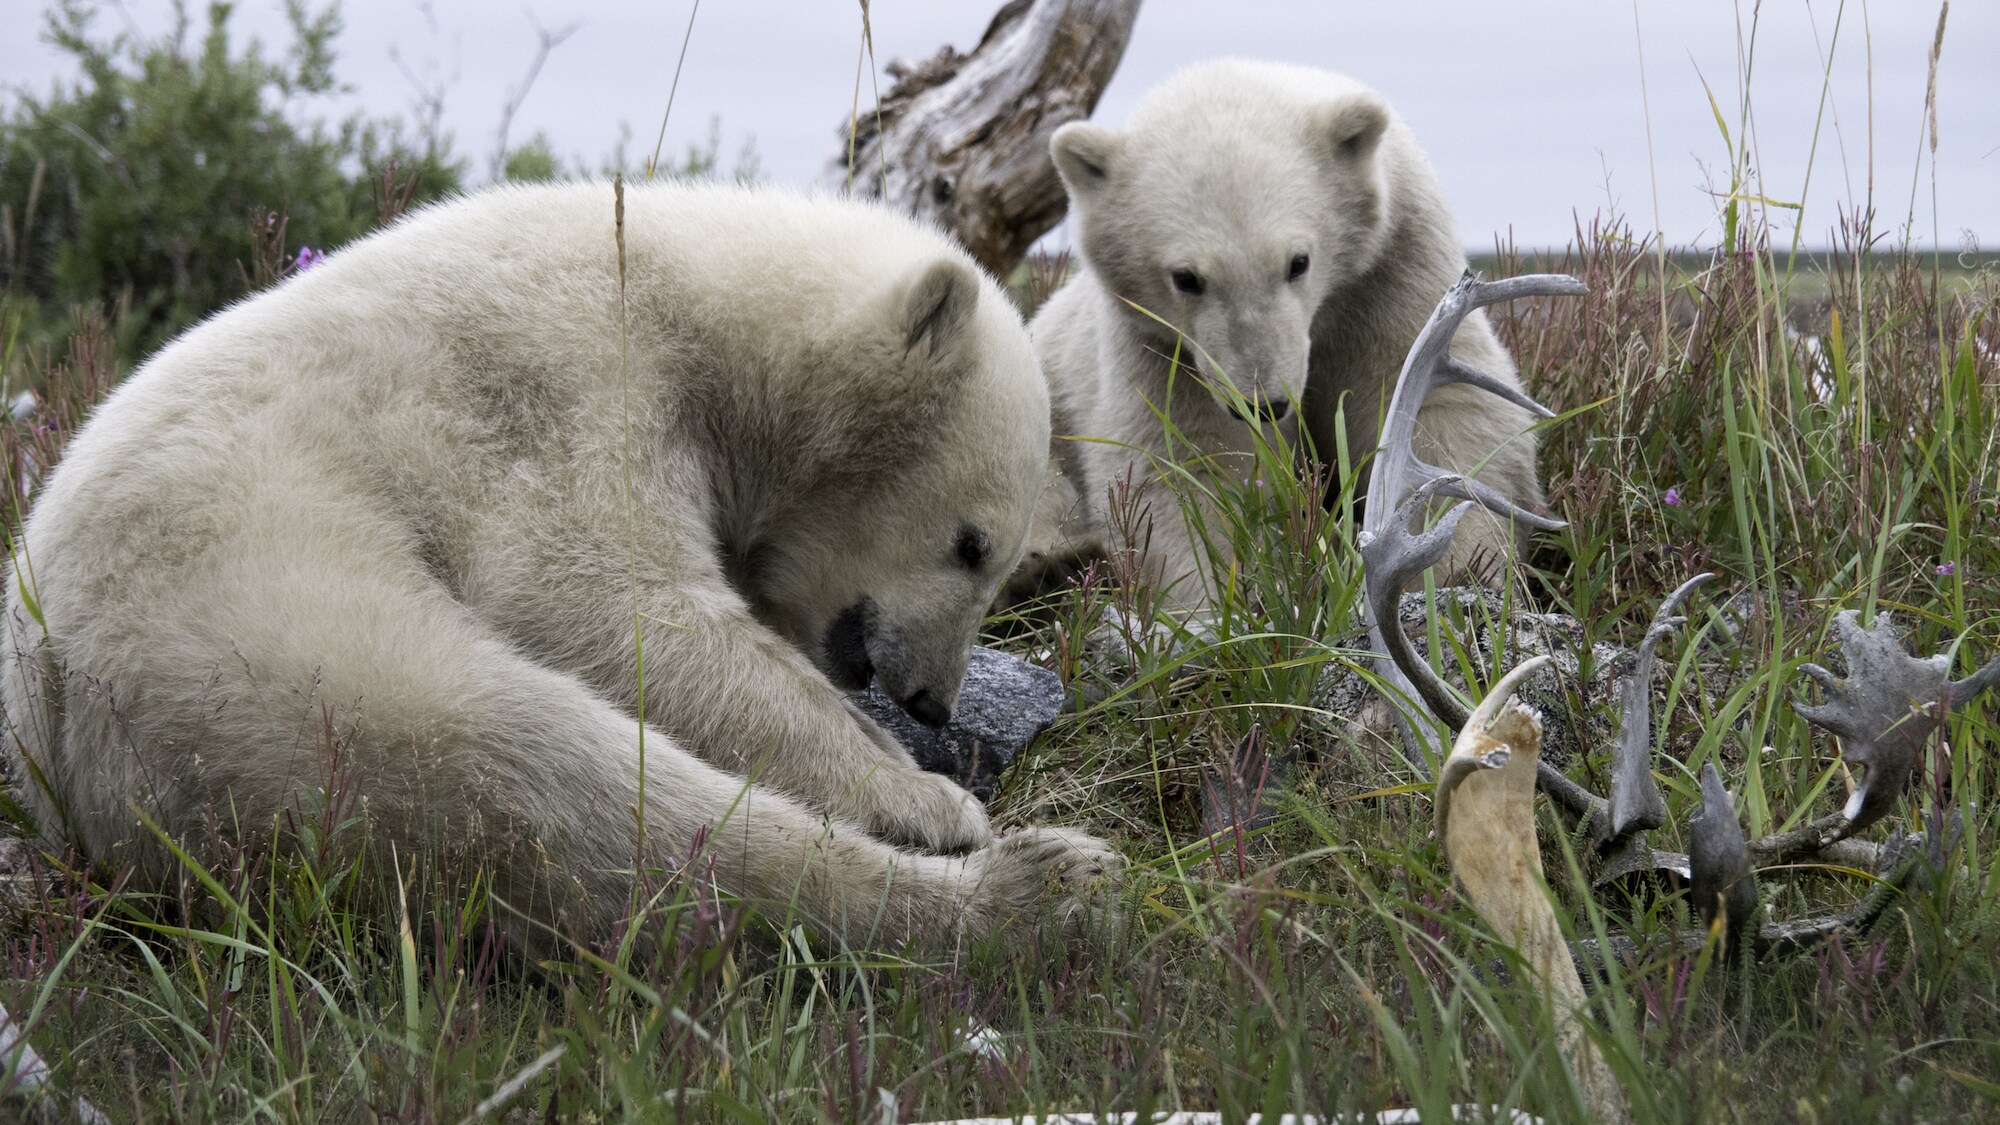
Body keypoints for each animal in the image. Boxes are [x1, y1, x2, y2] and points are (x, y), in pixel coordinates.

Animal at [1032, 61, 1544, 604]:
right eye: (1186, 277)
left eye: (1299, 261)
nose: (1263, 404)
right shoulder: (1158, 349)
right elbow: (1183, 460)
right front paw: (1220, 594)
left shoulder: (1395, 271)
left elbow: (1444, 409)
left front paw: (1459, 569)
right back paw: (1047, 563)